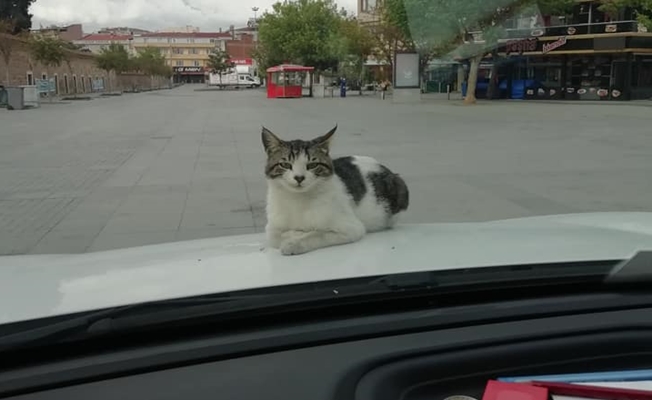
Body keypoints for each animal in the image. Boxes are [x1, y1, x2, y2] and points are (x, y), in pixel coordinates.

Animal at [260, 125, 408, 256]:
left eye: (312, 165)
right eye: (285, 164)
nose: (299, 177)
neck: (297, 199)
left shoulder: (352, 228)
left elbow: (317, 234)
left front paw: (295, 241)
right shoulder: (271, 227)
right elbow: (274, 235)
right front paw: (294, 233)